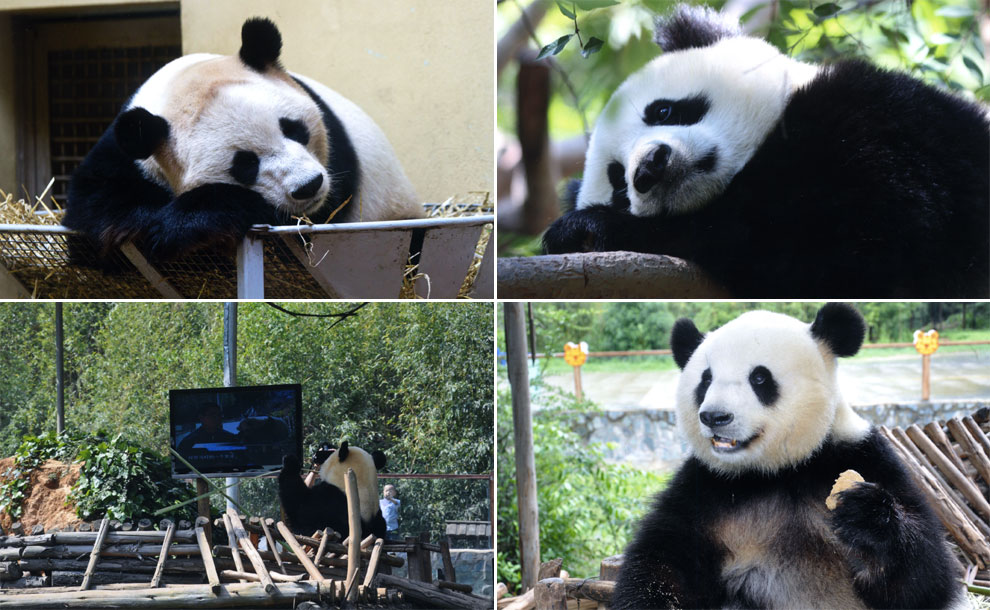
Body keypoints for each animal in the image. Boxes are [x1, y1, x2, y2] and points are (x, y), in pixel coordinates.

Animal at [65, 18, 422, 262]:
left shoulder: (337, 172)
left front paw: (177, 225)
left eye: (294, 129)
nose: (308, 186)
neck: (180, 86)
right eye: (245, 163)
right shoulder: (127, 154)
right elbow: (94, 212)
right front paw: (152, 225)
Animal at [544, 4, 990, 300]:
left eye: (663, 111)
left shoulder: (885, 125)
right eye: (619, 184)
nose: (650, 168)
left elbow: (830, 242)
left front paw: (588, 228)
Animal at [612, 302, 968, 604]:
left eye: (759, 377)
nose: (714, 416)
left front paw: (864, 515)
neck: (775, 472)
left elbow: (928, 577)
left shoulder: (863, 456)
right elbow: (661, 560)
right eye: (706, 380)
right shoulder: (704, 487)